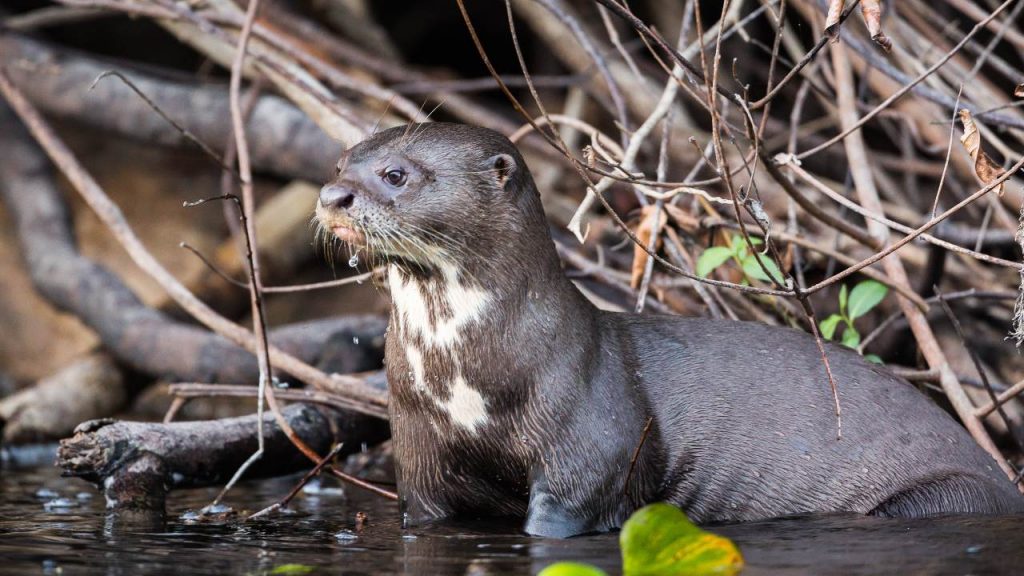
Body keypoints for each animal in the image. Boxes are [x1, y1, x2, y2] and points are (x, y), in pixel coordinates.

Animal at [313, 121, 1024, 537]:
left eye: (397, 174)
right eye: (343, 161)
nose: (331, 195)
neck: (466, 373)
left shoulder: (593, 444)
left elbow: (568, 512)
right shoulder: (419, 457)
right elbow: (425, 509)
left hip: (942, 496)